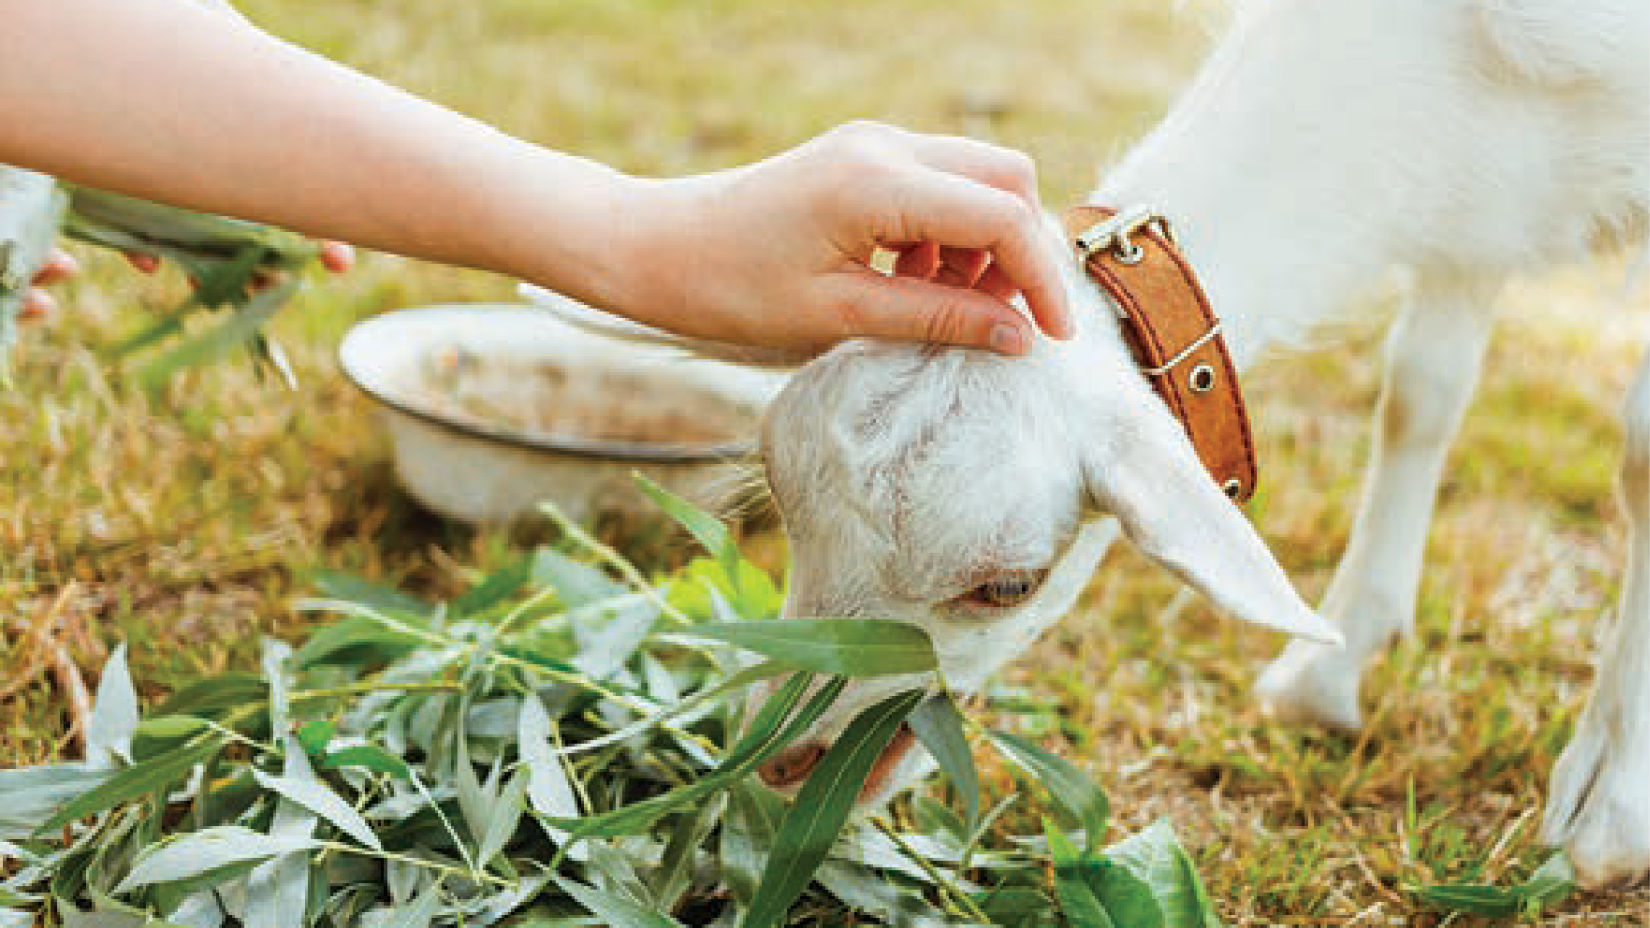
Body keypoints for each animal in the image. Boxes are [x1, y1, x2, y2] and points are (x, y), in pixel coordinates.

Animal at [531, 0, 1650, 891]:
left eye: (1008, 586)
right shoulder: (1482, 197)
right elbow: (1421, 390)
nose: (781, 762)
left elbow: (1637, 449)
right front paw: (1327, 672)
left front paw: (1607, 812)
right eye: (789, 521)